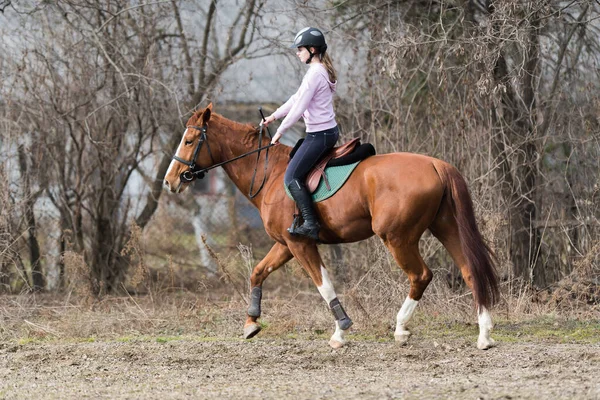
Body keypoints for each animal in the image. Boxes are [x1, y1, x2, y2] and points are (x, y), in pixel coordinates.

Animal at [164, 105, 502, 350]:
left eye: (189, 140)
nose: (170, 181)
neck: (270, 173)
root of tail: (436, 164)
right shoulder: (285, 245)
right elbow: (258, 272)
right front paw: (251, 323)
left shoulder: (300, 244)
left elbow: (323, 284)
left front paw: (341, 331)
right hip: (445, 228)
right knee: (470, 271)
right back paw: (484, 335)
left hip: (397, 238)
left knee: (420, 276)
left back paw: (401, 328)